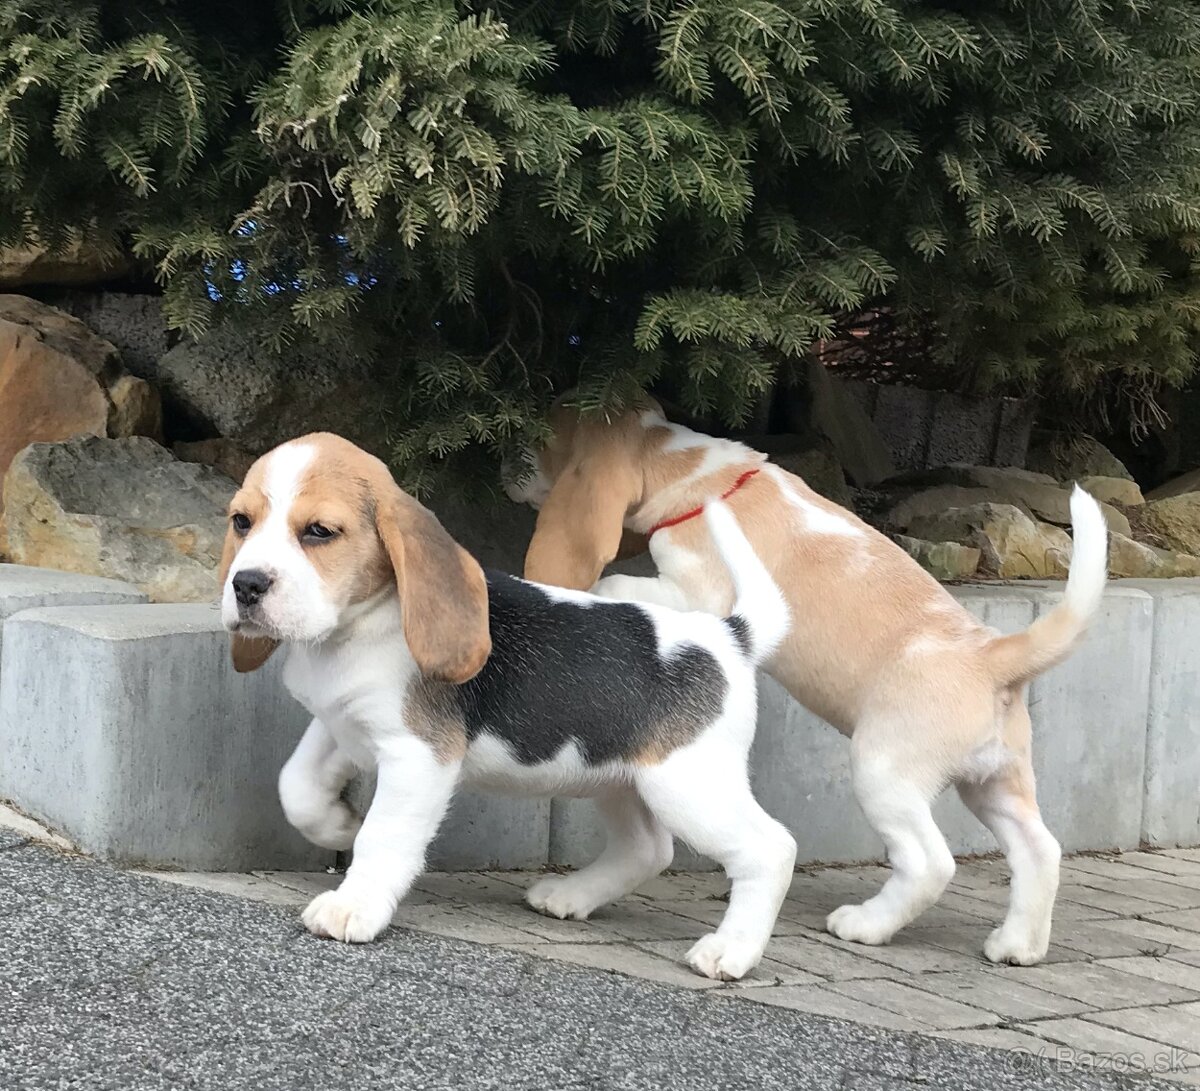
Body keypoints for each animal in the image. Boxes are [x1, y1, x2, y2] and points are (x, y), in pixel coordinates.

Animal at [216, 432, 796, 979]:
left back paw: (731, 950)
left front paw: (353, 906)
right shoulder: (340, 722)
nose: (245, 585)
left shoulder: (418, 756)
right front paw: (338, 826)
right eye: (241, 521)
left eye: (318, 531)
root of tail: (730, 637)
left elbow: (384, 834)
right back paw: (570, 896)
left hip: (687, 784)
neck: (358, 626)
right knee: (649, 849)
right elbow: (296, 786)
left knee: (770, 849)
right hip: (619, 774)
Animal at [506, 398, 1104, 960]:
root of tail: (992, 656)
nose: (507, 474)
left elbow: (617, 584)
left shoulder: (698, 591)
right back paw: (1018, 944)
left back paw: (866, 924)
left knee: (929, 863)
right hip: (995, 783)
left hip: (883, 772)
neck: (700, 472)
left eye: (545, 442)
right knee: (1038, 850)